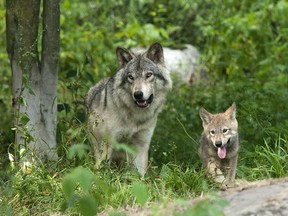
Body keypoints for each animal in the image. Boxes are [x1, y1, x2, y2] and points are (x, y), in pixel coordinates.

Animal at [84, 41, 172, 177]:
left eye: (148, 75)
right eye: (131, 77)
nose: (138, 94)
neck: (136, 117)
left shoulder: (141, 146)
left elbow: (140, 176)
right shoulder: (109, 144)